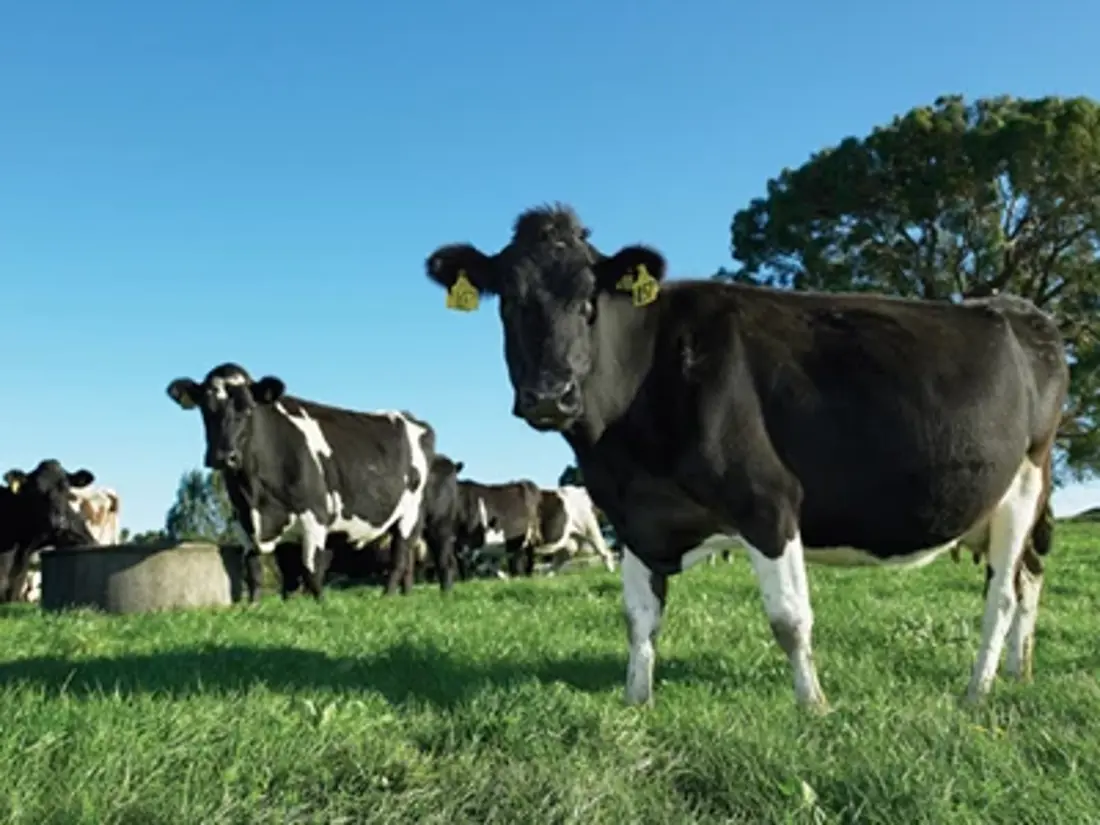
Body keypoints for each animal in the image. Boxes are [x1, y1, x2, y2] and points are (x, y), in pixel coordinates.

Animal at [166, 362, 436, 602]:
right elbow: (259, 573)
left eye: (248, 408)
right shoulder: (244, 523)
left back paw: (387, 596)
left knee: (399, 558)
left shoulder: (315, 516)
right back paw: (404, 595)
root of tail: (411, 418)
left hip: (410, 515)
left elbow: (311, 570)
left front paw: (321, 605)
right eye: (205, 409)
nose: (223, 456)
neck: (255, 497)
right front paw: (256, 606)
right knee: (407, 561)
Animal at [422, 202, 1069, 710]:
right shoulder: (635, 518)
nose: (548, 396)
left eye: (589, 302)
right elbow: (638, 620)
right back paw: (1020, 673)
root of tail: (1018, 309)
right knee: (1031, 576)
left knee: (1003, 593)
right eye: (509, 302)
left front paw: (814, 708)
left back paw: (976, 693)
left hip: (1023, 482)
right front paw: (636, 704)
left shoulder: (768, 502)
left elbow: (789, 618)